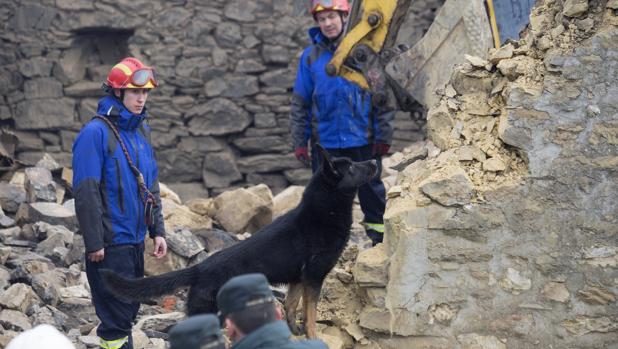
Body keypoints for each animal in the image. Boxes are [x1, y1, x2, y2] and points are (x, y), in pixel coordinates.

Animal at [100, 144, 376, 338]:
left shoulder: (300, 279)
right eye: (351, 167)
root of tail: (200, 268)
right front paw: (312, 335)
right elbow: (310, 315)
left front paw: (294, 331)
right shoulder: (314, 278)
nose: (374, 160)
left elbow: (292, 306)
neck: (324, 210)